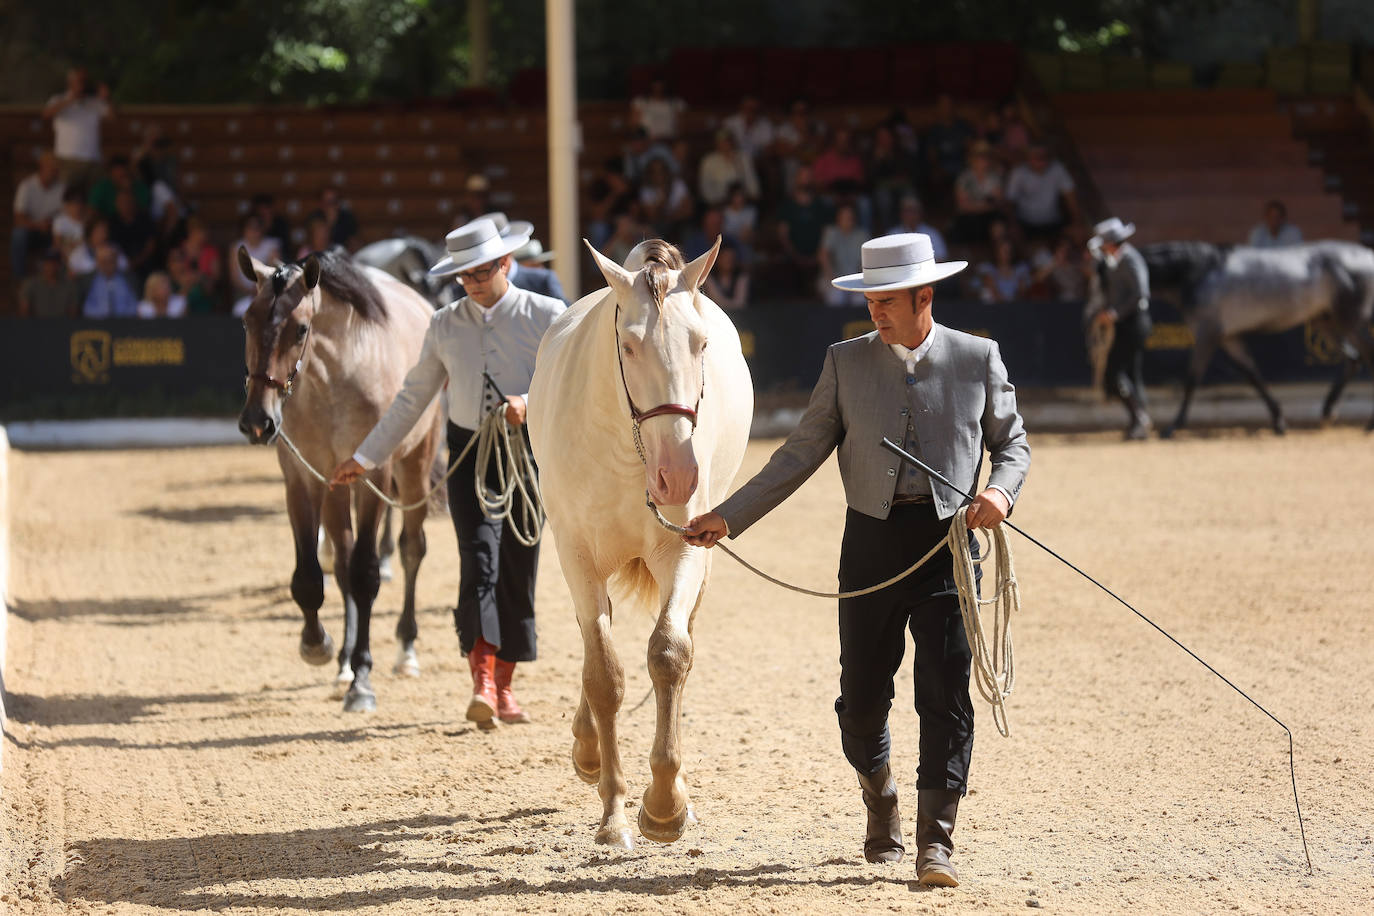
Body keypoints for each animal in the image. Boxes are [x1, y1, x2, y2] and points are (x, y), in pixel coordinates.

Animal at [236, 246, 445, 712]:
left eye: (300, 329)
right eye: (247, 321)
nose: (258, 422)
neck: (332, 381)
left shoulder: (374, 478)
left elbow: (367, 574)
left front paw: (362, 681)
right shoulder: (302, 479)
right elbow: (311, 578)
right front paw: (319, 646)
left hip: (414, 468)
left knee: (412, 550)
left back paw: (405, 651)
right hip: (334, 488)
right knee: (344, 561)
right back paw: (345, 662)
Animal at [527, 237, 753, 849]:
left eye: (700, 343)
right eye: (627, 346)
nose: (678, 476)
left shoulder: (685, 551)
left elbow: (670, 654)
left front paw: (666, 804)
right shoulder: (577, 556)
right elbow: (603, 675)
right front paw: (614, 814)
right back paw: (587, 750)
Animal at [1140, 240, 1374, 436]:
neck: (1198, 274)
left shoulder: (1207, 334)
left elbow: (1192, 378)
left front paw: (1173, 426)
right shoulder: (1229, 338)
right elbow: (1252, 374)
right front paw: (1279, 422)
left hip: (1349, 322)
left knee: (1364, 355)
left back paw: (1367, 423)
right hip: (1326, 322)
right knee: (1354, 359)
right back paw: (1328, 412)